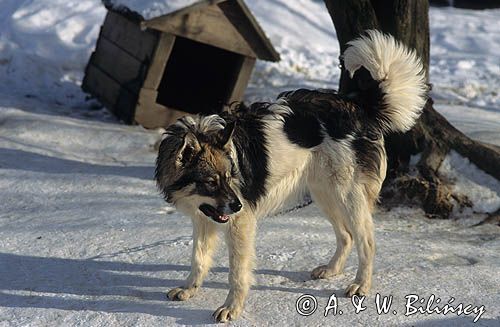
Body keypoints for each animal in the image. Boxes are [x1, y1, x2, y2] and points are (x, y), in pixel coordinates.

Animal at [155, 30, 426, 322]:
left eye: (229, 176)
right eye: (210, 182)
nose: (238, 204)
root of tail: (356, 106)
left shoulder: (240, 224)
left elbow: (237, 273)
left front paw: (232, 307)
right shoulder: (204, 219)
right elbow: (198, 259)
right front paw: (189, 289)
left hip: (347, 195)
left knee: (366, 241)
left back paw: (360, 285)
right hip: (324, 193)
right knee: (346, 236)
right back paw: (331, 270)